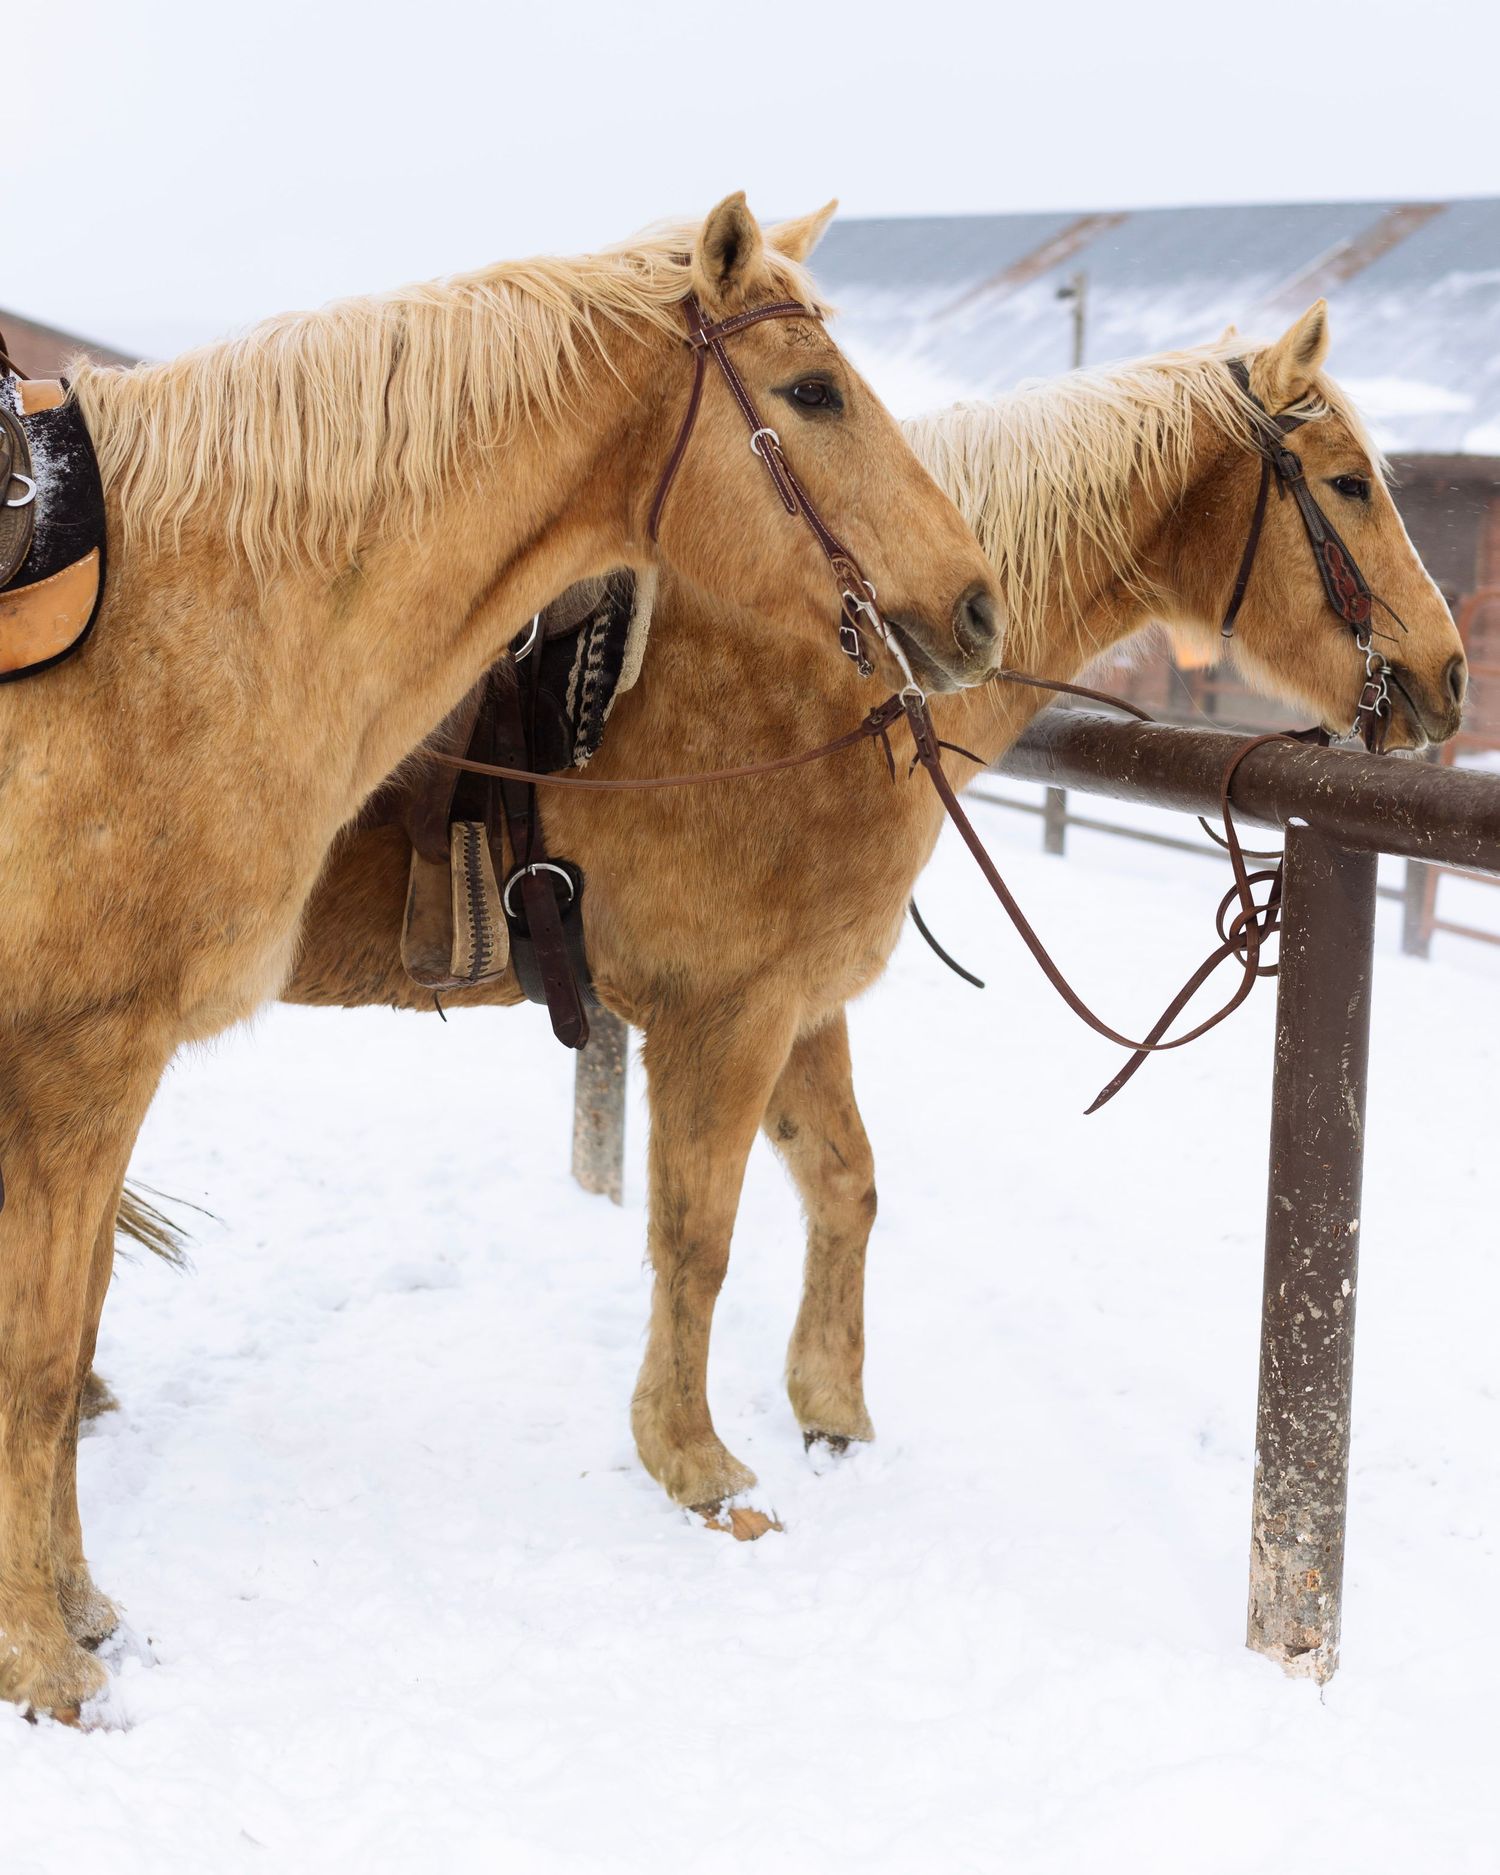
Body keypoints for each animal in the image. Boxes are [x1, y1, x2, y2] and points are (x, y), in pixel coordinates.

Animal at [0, 194, 1004, 1721]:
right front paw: (47, 1667)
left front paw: (76, 1613)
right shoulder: (78, 1059)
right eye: (815, 391)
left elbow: (58, 1348)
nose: (977, 607)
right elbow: (43, 1360)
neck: (176, 620)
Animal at [268, 302, 1465, 1535]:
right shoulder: (721, 1019)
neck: (820, 677)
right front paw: (694, 1462)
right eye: (1349, 484)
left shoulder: (801, 1003)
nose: (1452, 674)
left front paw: (831, 1407)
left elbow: (848, 1186)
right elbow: (697, 1236)